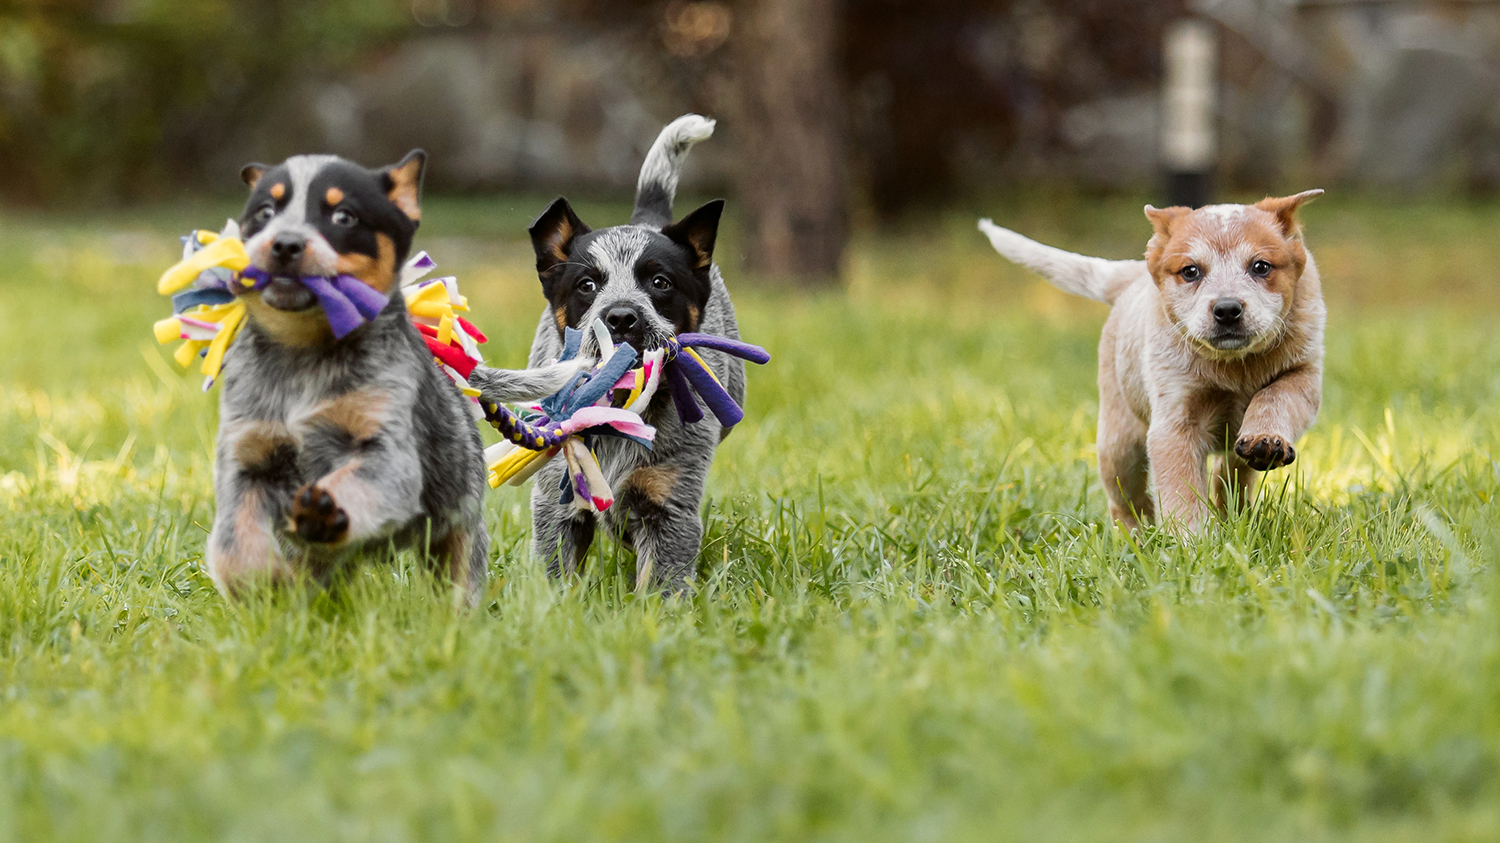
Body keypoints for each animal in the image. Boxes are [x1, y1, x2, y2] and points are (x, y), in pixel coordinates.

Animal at [205, 147, 567, 600]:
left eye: (343, 216)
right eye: (265, 212)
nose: (285, 243)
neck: (304, 352)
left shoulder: (387, 452)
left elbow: (353, 483)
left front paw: (322, 514)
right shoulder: (248, 456)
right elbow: (235, 542)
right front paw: (262, 586)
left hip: (457, 524)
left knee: (458, 570)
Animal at [480, 114, 744, 591]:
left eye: (660, 282)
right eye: (587, 284)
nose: (621, 317)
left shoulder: (669, 502)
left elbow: (660, 582)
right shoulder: (557, 499)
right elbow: (556, 568)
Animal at [984, 193, 1326, 528]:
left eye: (1261, 267)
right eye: (1190, 271)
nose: (1227, 309)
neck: (1234, 365)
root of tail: (1136, 274)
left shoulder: (1304, 375)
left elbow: (1275, 395)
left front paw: (1265, 439)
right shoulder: (1175, 422)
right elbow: (1181, 490)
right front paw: (1192, 540)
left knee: (1229, 471)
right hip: (1118, 446)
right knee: (1125, 500)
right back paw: (1136, 534)